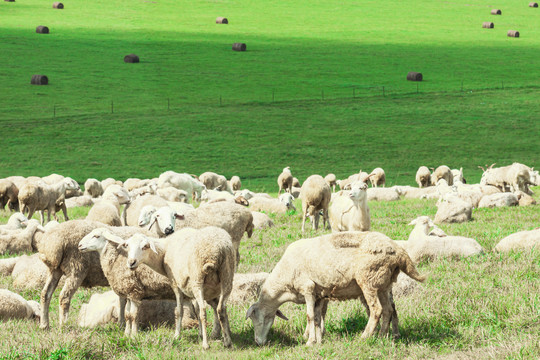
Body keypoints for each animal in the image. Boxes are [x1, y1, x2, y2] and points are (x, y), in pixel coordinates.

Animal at [246, 231, 426, 346]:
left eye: (255, 317)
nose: (258, 342)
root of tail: (399, 251)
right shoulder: (318, 295)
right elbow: (317, 317)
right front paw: (318, 340)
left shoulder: (308, 288)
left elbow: (310, 316)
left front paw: (309, 341)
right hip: (382, 283)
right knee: (389, 309)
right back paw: (383, 336)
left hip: (368, 279)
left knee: (377, 310)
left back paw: (365, 337)